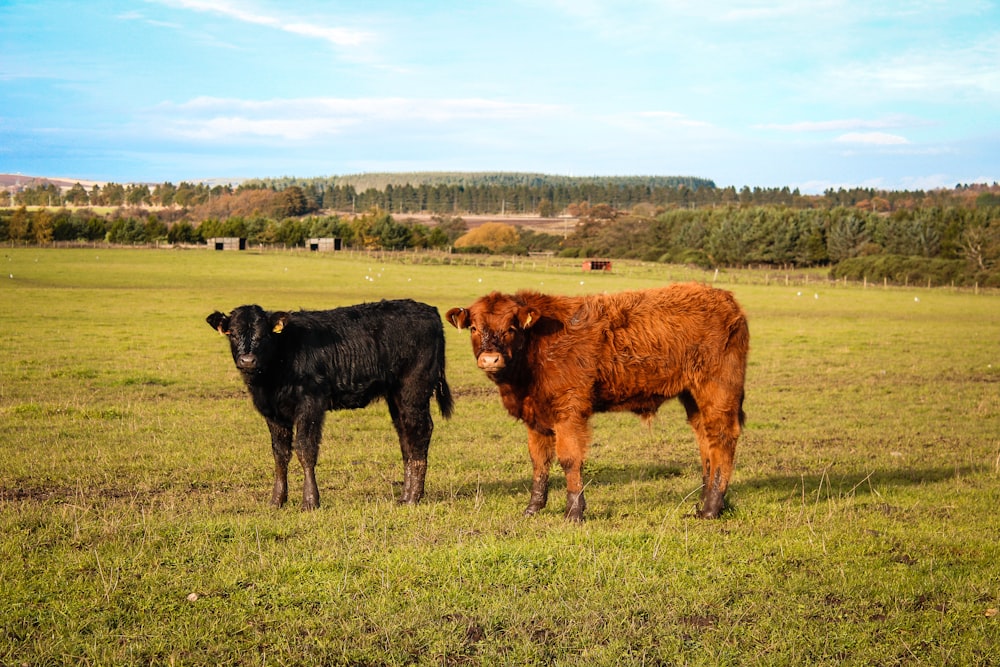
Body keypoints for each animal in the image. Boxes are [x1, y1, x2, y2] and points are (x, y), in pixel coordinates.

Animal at [448, 282, 752, 520]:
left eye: (511, 327)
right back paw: (705, 503)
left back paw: (711, 508)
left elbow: (570, 459)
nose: (490, 359)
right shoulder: (536, 416)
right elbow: (539, 462)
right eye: (474, 328)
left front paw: (574, 512)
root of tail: (726, 299)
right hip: (693, 397)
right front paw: (533, 508)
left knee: (722, 439)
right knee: (706, 442)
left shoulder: (570, 410)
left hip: (718, 390)